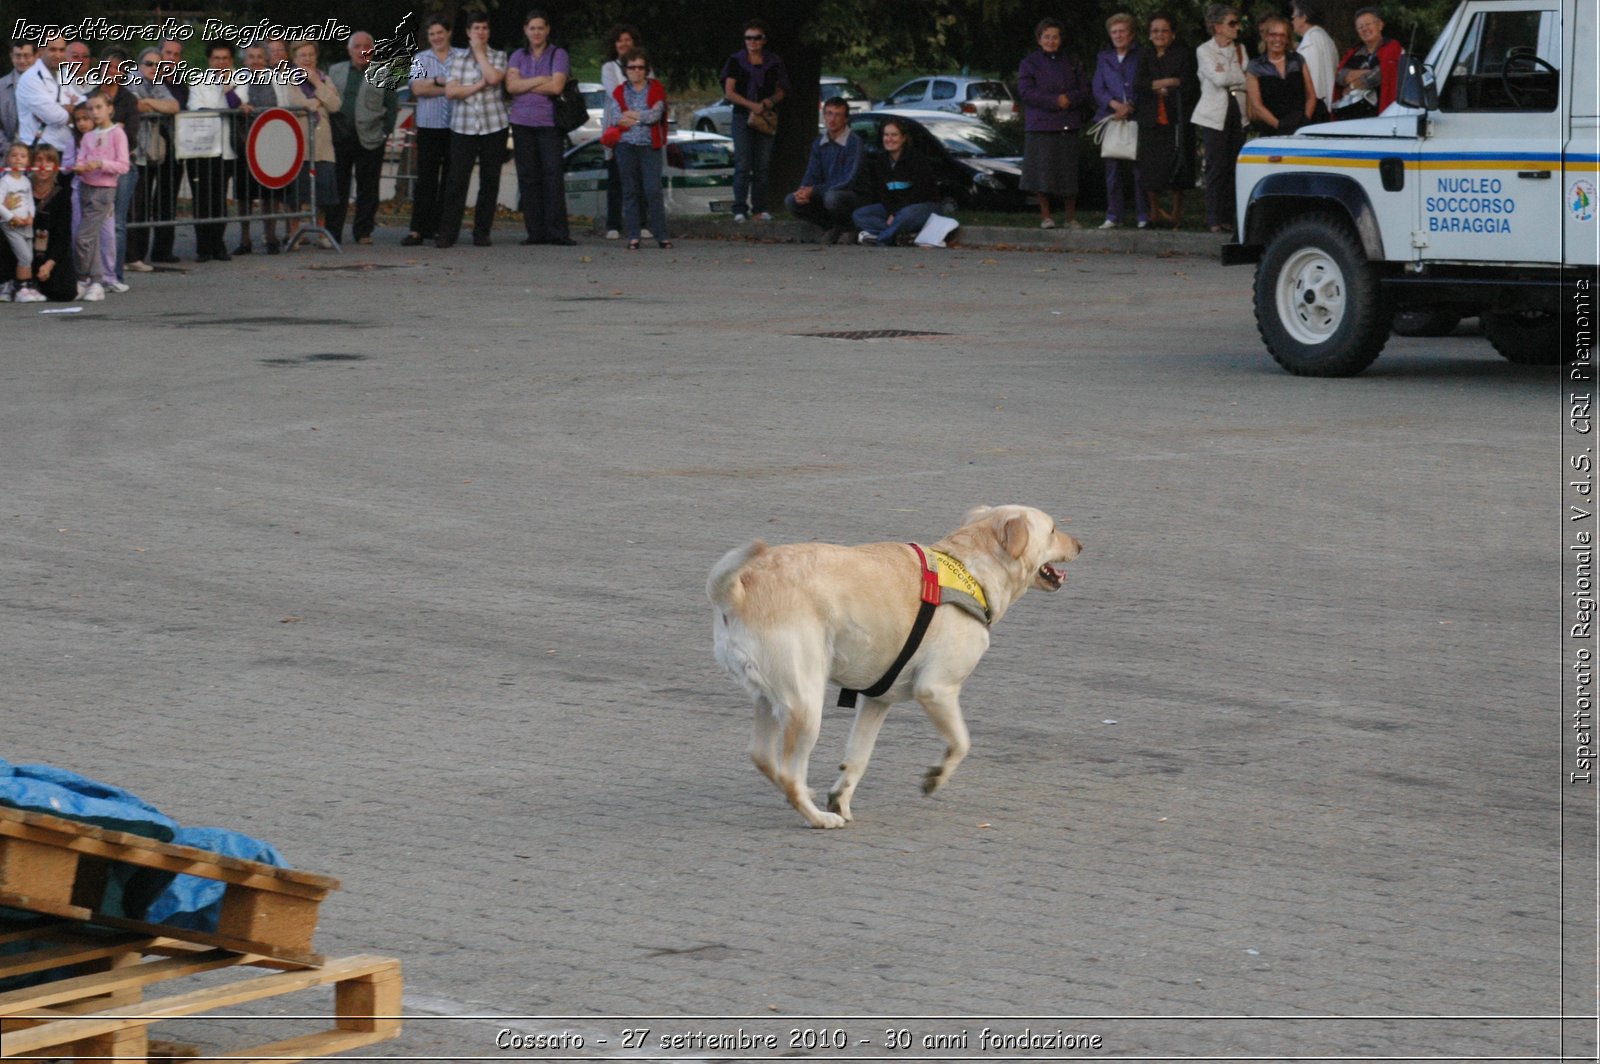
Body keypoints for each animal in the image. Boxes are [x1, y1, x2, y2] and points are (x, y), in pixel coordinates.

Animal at [707, 505, 1081, 832]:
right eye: (1052, 530)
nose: (1080, 545)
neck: (971, 570)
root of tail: (738, 590)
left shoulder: (877, 700)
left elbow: (858, 757)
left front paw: (840, 798)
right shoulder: (937, 689)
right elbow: (961, 742)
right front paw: (935, 777)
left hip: (770, 700)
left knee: (763, 757)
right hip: (806, 705)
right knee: (788, 773)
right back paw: (818, 819)